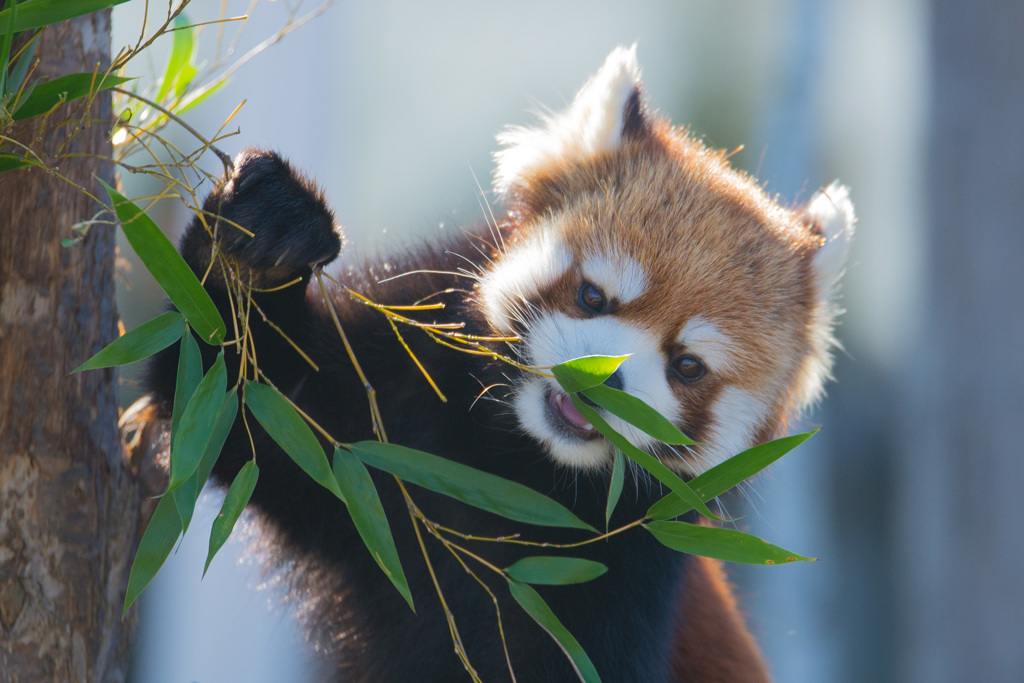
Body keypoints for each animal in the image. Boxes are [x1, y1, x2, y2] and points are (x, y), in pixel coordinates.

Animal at [148, 45, 856, 679]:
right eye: (592, 296)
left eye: (687, 366)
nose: (604, 382)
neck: (513, 466)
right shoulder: (381, 414)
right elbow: (243, 406)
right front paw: (262, 234)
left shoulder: (626, 565)